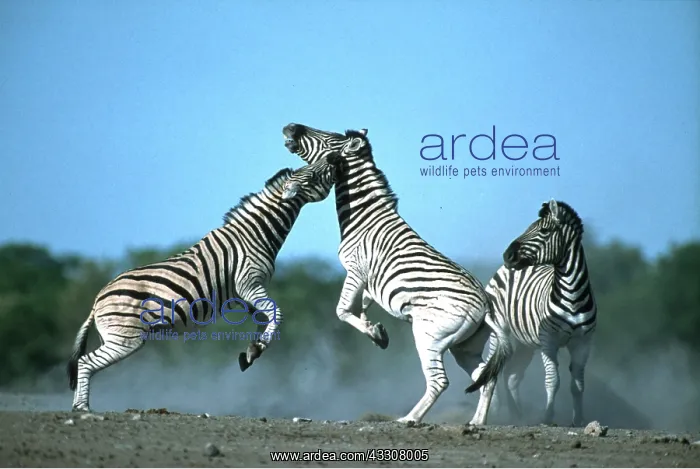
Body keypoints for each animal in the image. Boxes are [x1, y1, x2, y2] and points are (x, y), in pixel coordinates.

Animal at [67, 155, 341, 412]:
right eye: (313, 175)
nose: (333, 159)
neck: (255, 234)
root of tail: (97, 300)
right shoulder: (248, 281)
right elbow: (276, 312)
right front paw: (258, 347)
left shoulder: (245, 293)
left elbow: (265, 317)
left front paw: (252, 351)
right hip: (125, 338)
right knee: (85, 362)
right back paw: (82, 408)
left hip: (115, 337)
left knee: (84, 363)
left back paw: (78, 406)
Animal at [281, 123, 510, 425]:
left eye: (331, 138)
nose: (290, 127)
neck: (364, 216)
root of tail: (486, 306)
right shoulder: (369, 282)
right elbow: (361, 306)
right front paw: (375, 332)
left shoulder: (356, 269)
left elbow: (342, 310)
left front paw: (372, 331)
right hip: (464, 347)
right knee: (485, 377)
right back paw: (476, 422)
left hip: (429, 336)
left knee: (440, 381)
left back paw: (409, 419)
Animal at [465, 199, 597, 427]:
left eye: (544, 230)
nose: (507, 255)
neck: (572, 295)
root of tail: (503, 269)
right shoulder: (548, 341)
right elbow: (553, 381)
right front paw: (547, 418)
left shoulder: (582, 343)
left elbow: (578, 384)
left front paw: (579, 420)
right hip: (499, 333)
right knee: (494, 368)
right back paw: (497, 411)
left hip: (524, 343)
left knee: (511, 376)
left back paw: (517, 415)